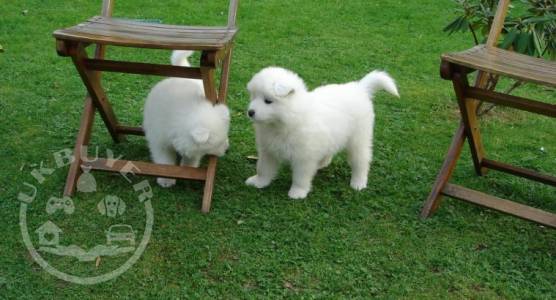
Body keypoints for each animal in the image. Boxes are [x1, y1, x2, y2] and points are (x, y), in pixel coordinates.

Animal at [245, 67, 398, 199]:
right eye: (253, 96)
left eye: (268, 101)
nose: (250, 112)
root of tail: (360, 88)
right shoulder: (268, 150)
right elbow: (263, 169)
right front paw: (258, 182)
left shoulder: (303, 157)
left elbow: (300, 177)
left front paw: (297, 192)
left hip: (358, 139)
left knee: (361, 160)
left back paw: (358, 182)